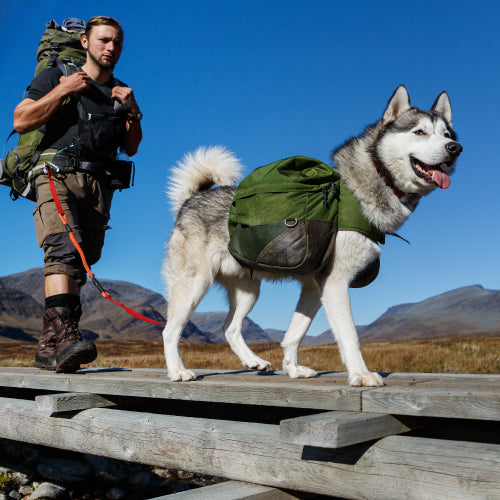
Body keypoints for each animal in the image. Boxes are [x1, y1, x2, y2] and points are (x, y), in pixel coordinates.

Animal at [162, 86, 462, 386]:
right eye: (419, 132)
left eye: (447, 135)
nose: (455, 149)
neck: (372, 182)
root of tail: (191, 200)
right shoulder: (335, 281)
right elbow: (350, 335)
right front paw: (361, 374)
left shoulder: (314, 286)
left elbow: (294, 334)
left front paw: (293, 369)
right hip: (194, 284)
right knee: (170, 330)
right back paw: (178, 371)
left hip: (248, 291)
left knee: (230, 328)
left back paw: (253, 360)